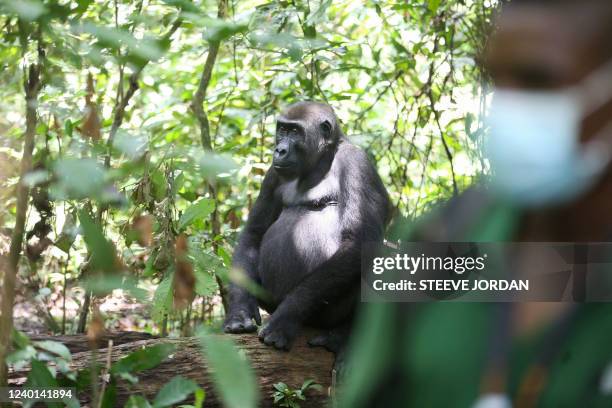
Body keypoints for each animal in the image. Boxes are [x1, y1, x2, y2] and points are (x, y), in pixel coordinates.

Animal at [222, 100, 390, 356]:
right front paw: (239, 310)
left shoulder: (357, 163)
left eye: (295, 132)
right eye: (282, 129)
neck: (323, 157)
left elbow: (359, 242)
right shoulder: (272, 174)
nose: (279, 150)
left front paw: (284, 318)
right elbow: (254, 234)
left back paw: (341, 335)